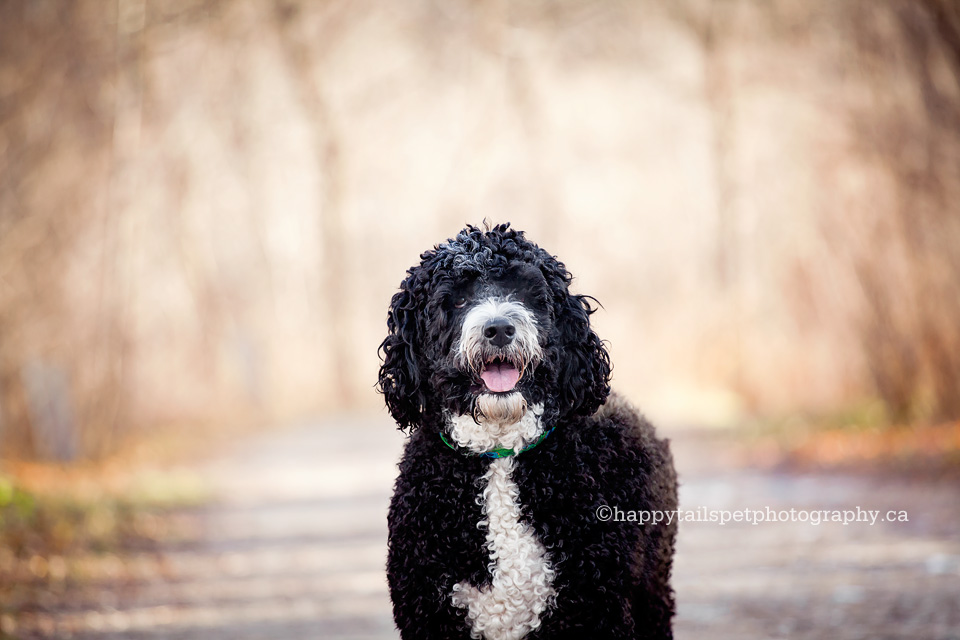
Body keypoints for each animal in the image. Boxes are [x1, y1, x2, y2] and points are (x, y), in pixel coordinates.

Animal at [378, 224, 680, 640]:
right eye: (456, 299)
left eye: (525, 292)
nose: (499, 328)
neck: (500, 456)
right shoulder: (430, 612)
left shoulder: (595, 609)